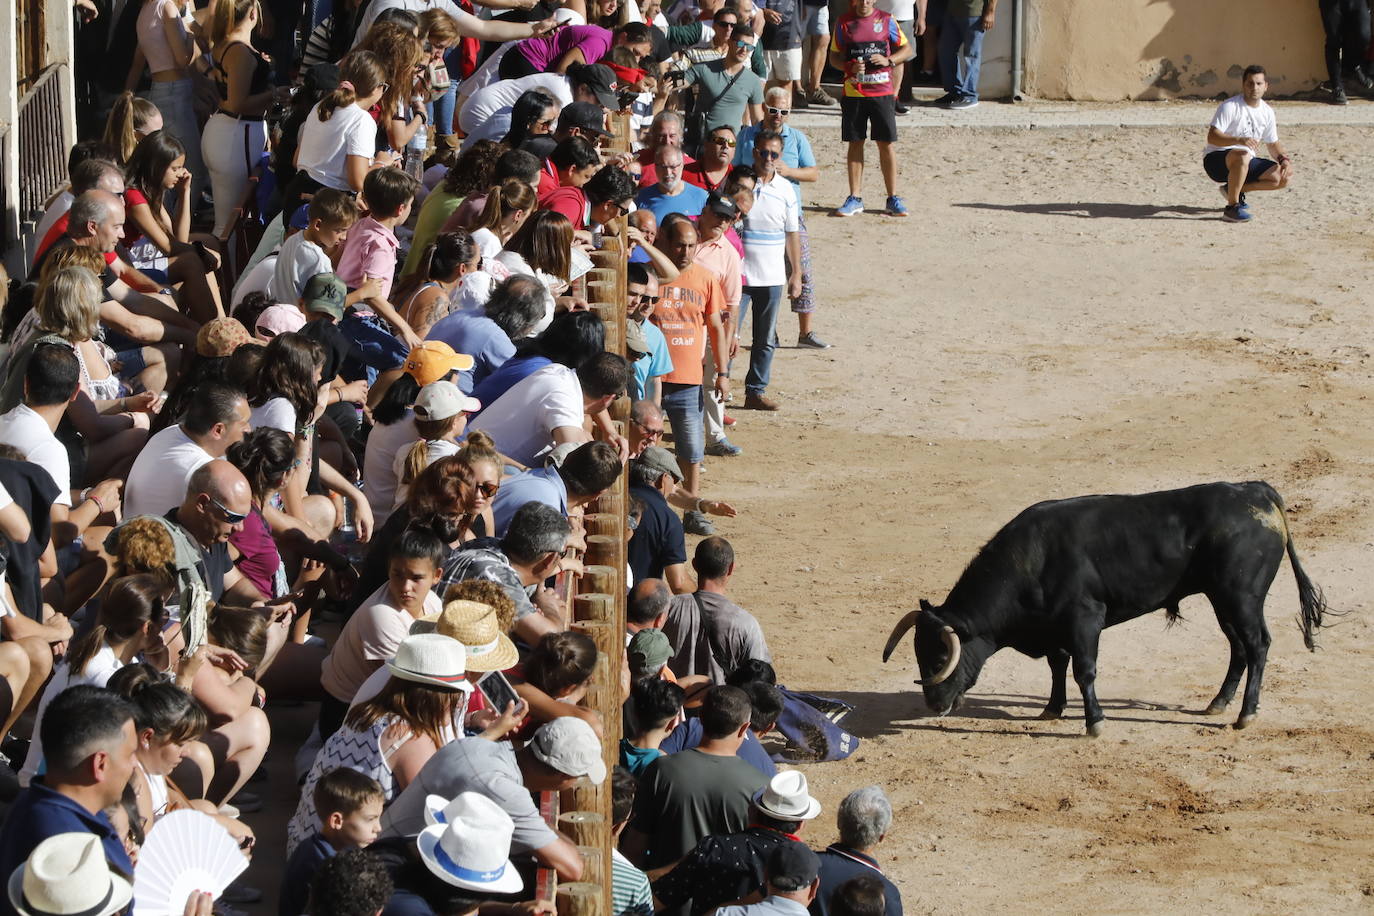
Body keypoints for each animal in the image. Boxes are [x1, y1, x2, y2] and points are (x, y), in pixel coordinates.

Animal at [884, 483, 1324, 736]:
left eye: (941, 656)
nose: (934, 705)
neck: (1030, 562)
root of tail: (1258, 492)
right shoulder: (1055, 628)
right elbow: (1057, 666)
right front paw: (1052, 709)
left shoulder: (1085, 620)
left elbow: (1084, 670)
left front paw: (1094, 722)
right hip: (1222, 599)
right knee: (1237, 647)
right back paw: (1218, 703)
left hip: (1242, 596)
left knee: (1258, 644)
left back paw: (1246, 714)